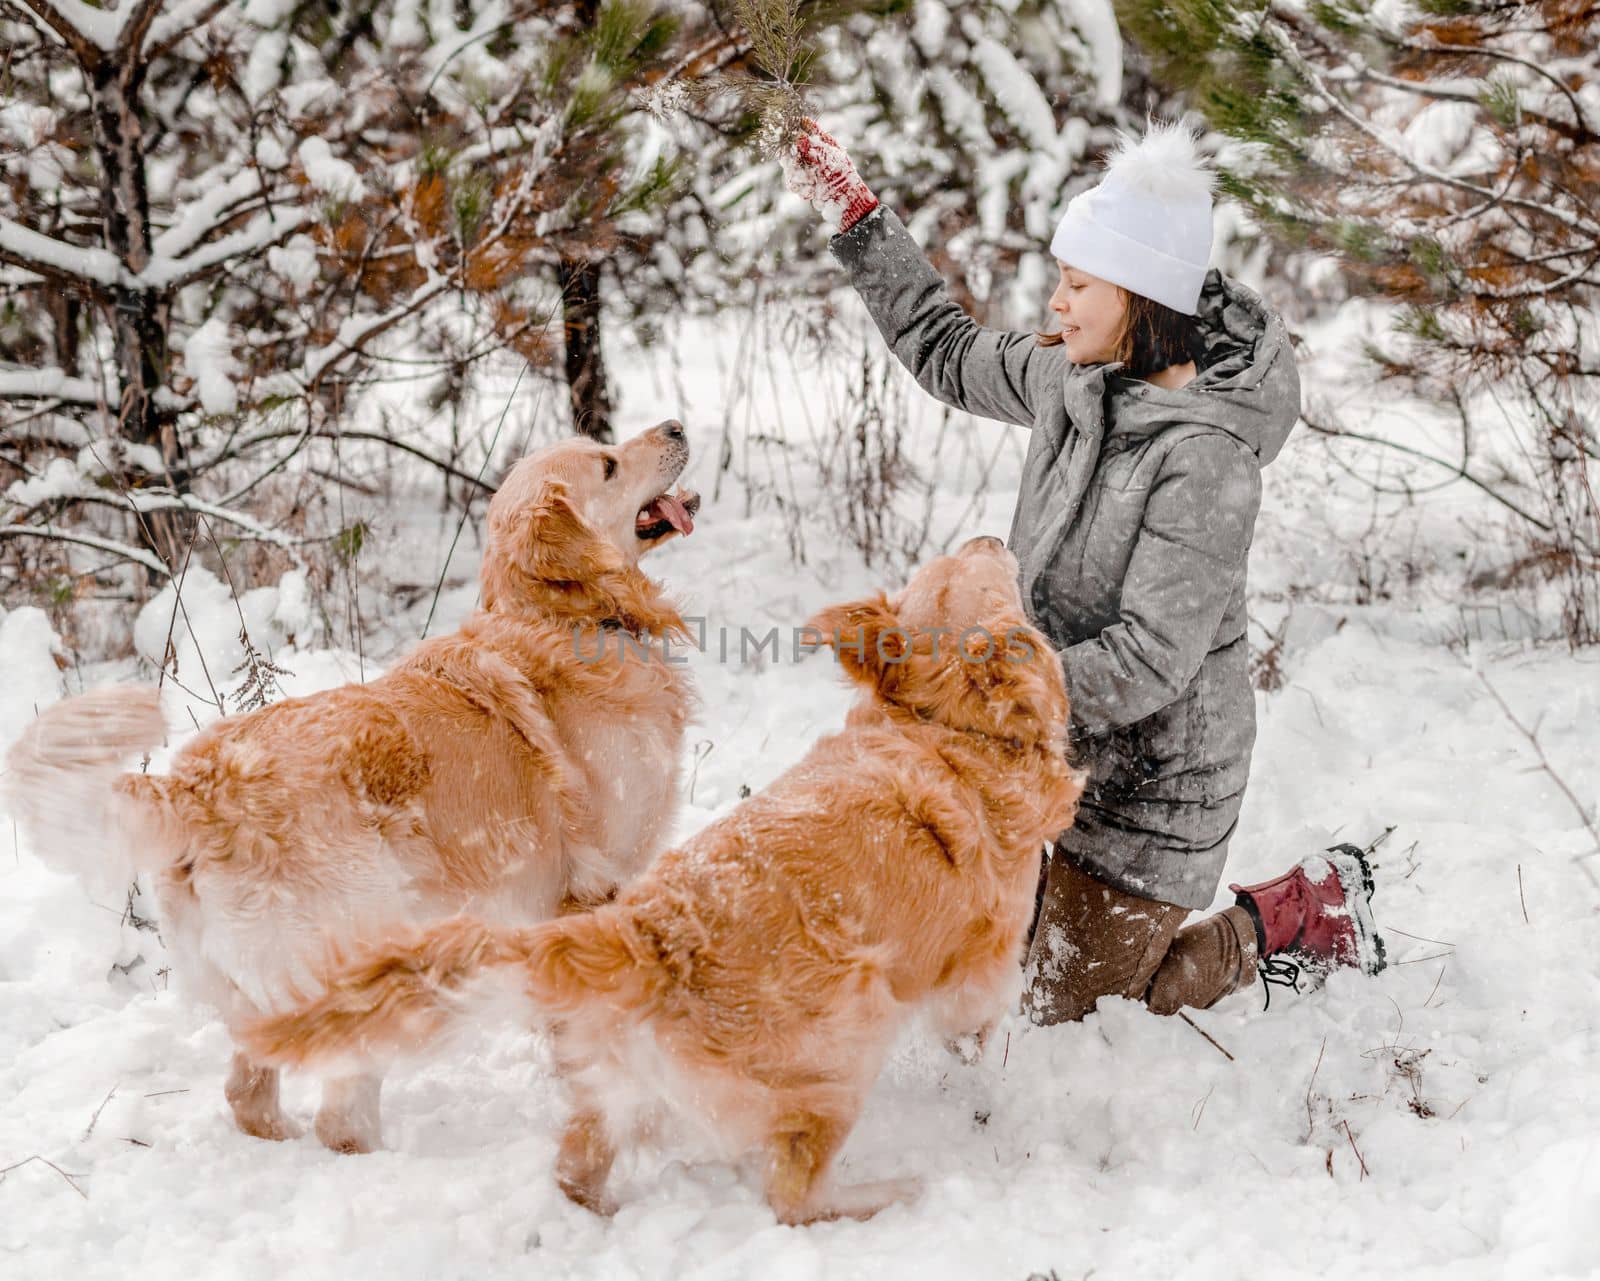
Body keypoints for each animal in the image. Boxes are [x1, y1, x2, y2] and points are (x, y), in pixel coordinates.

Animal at [3, 415, 700, 1151]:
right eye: (608, 465)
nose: (677, 425)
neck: (562, 616)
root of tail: (200, 788)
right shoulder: (597, 882)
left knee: (248, 1091)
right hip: (363, 951)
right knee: (339, 1113)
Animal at [243, 537, 1088, 1221]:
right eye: (984, 577)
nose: (990, 535)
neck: (946, 726)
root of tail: (641, 935)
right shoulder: (981, 967)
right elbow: (974, 1045)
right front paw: (984, 1104)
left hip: (614, 1095)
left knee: (576, 1171)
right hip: (849, 1045)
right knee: (792, 1195)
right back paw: (891, 1191)